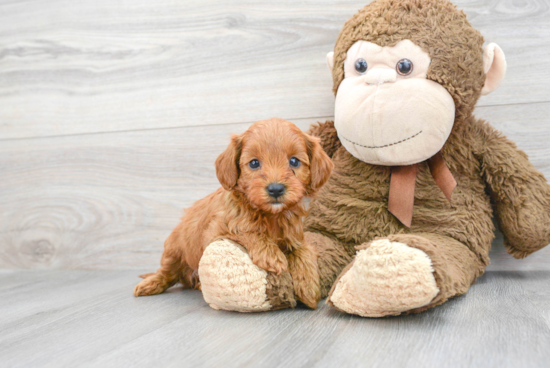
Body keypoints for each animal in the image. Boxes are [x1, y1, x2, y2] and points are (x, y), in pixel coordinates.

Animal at [134, 118, 334, 308]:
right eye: (254, 163)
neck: (271, 215)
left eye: (294, 161)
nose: (276, 189)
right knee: (166, 272)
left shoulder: (296, 237)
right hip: (174, 248)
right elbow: (246, 230)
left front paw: (308, 287)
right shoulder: (215, 232)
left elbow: (303, 252)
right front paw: (272, 255)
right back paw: (150, 284)